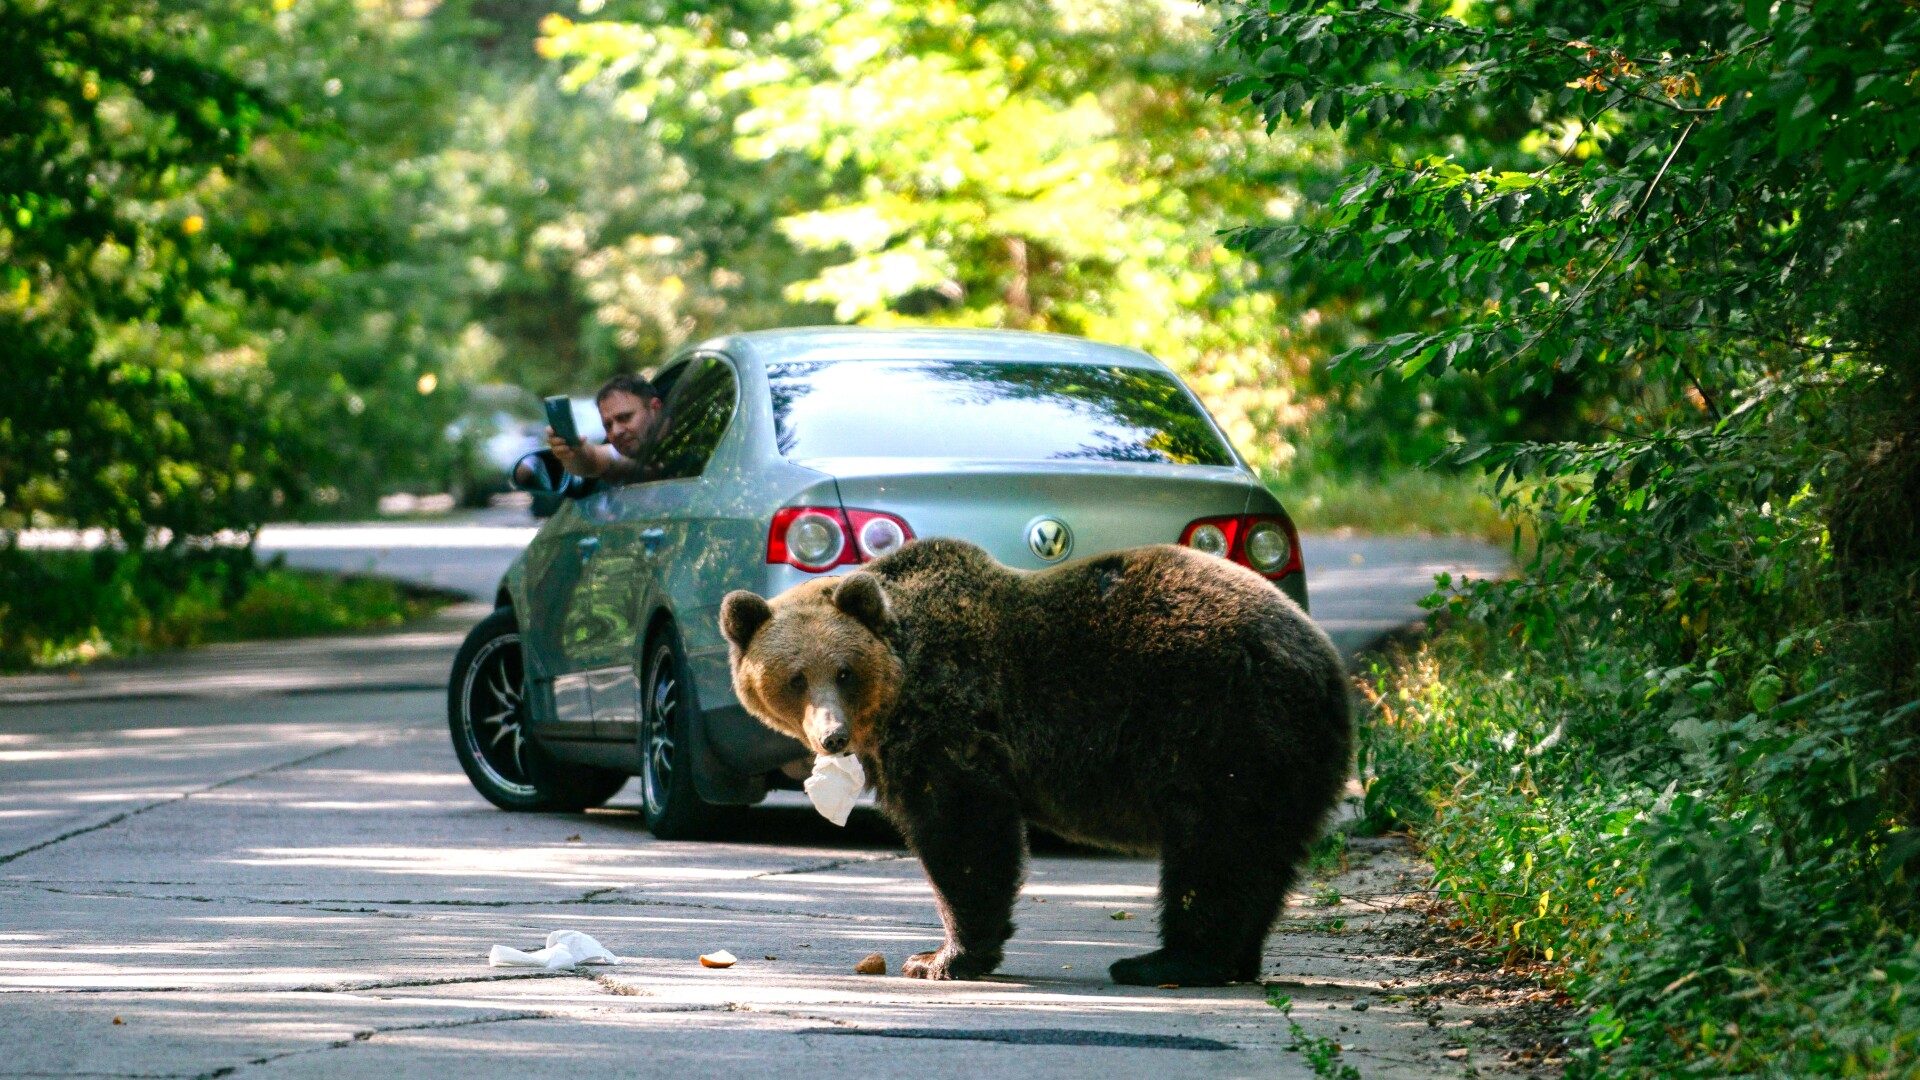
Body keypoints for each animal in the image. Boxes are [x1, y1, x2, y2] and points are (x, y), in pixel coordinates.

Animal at [718, 538, 1351, 983]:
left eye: (844, 671)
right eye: (795, 678)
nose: (832, 737)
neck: (898, 687)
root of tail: (1325, 661)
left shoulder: (952, 717)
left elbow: (964, 830)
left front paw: (939, 956)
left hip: (1222, 727)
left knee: (1212, 849)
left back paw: (1167, 961)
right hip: (1279, 756)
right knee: (1260, 854)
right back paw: (1235, 958)